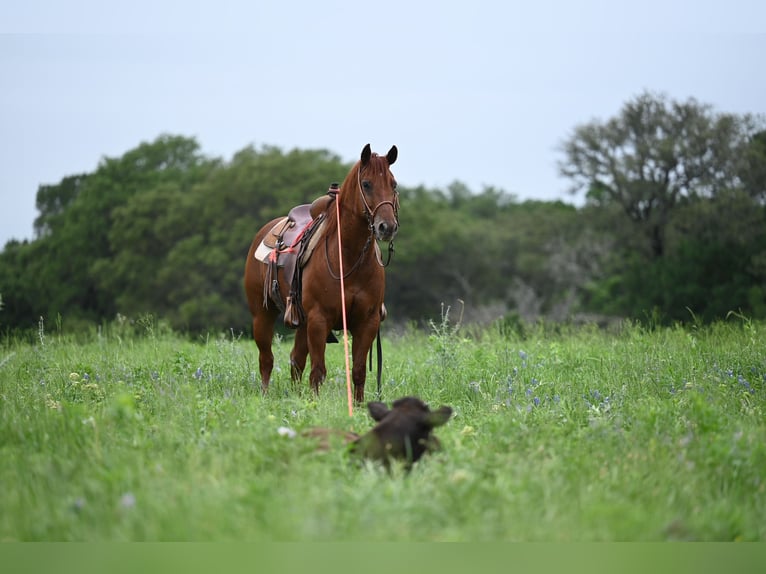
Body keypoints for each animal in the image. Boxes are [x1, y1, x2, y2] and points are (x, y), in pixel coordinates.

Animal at [246, 145, 402, 404]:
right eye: (367, 184)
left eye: (394, 183)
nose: (387, 227)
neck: (348, 258)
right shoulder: (319, 319)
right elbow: (318, 371)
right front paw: (315, 405)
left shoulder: (367, 321)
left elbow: (358, 371)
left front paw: (358, 407)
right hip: (262, 314)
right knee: (266, 359)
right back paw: (266, 396)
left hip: (301, 322)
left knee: (296, 360)